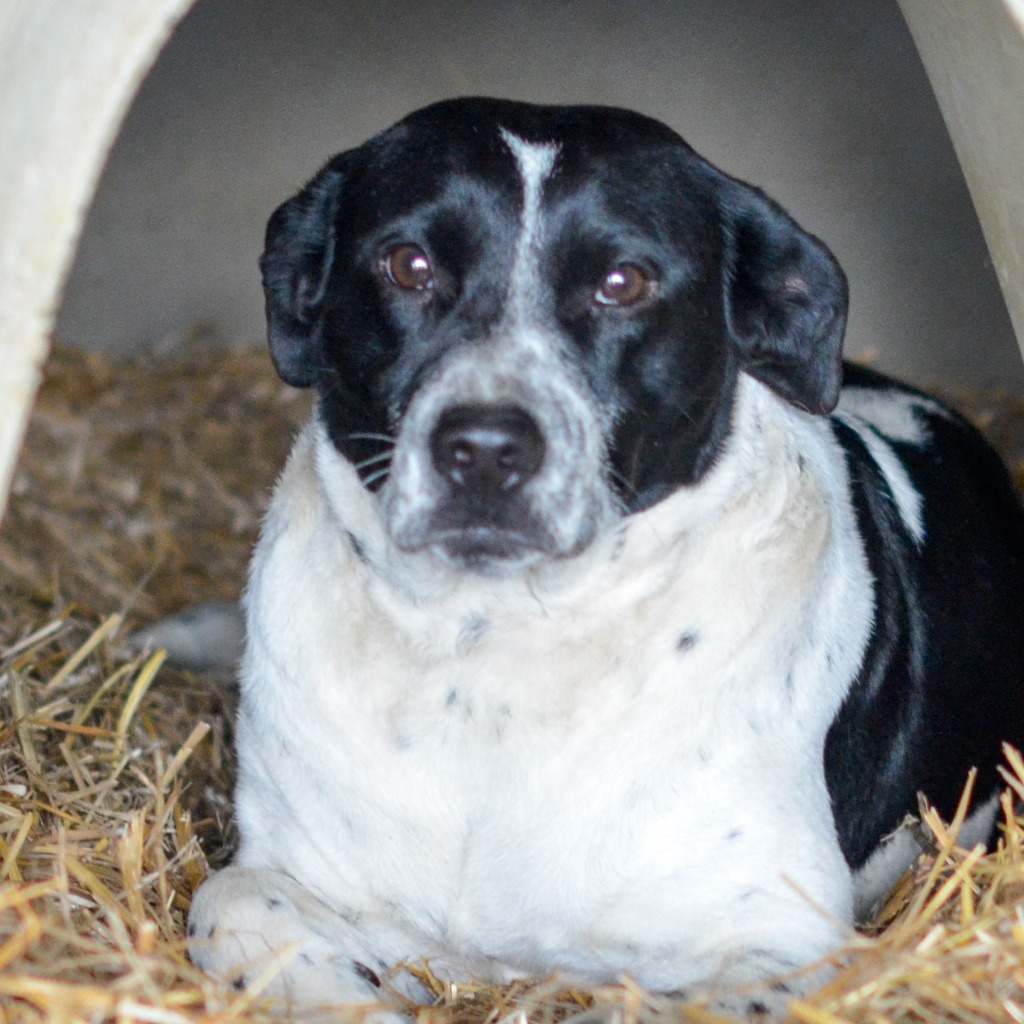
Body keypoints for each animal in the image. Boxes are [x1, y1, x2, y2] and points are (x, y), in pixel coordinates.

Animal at [184, 97, 1024, 1015]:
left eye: (623, 282)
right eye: (408, 265)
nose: (485, 449)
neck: (494, 652)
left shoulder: (779, 942)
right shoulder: (292, 868)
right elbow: (229, 900)